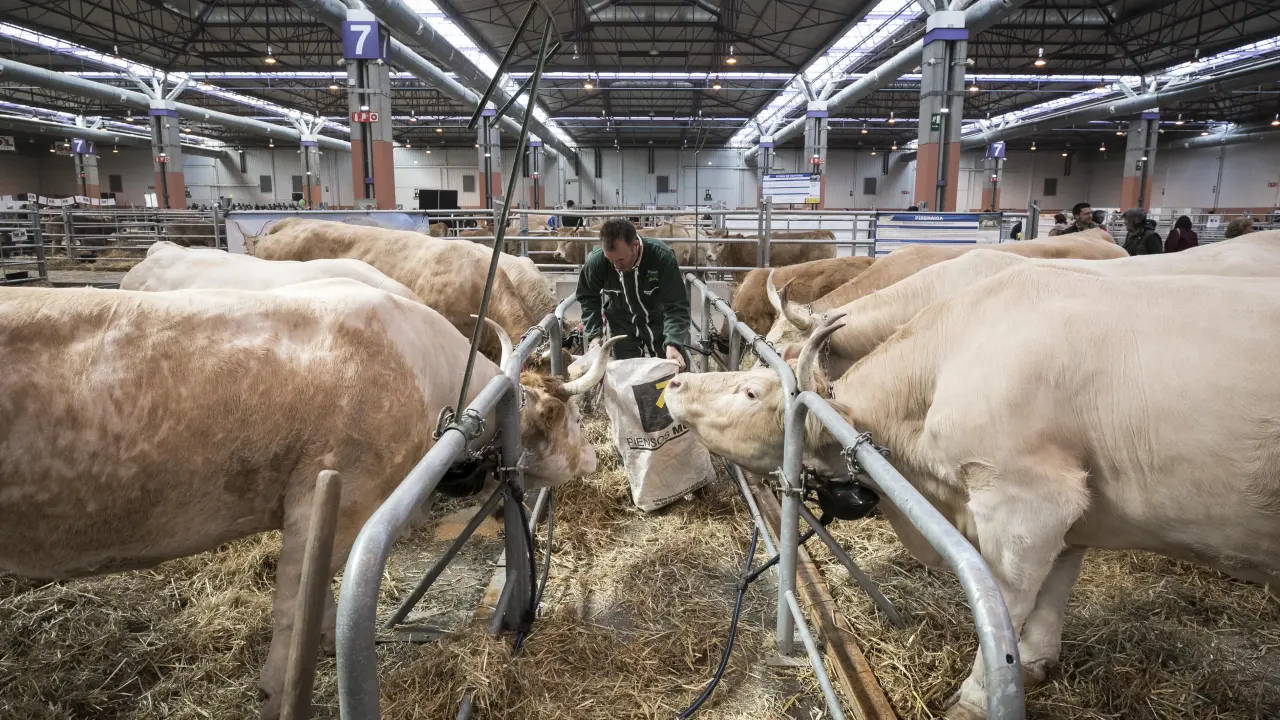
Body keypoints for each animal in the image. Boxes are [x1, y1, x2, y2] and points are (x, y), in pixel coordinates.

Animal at [0, 280, 622, 719]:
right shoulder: (330, 499)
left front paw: (325, 642)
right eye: (565, 417)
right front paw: (279, 691)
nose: (594, 457)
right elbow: (295, 602)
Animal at [664, 269, 1280, 720]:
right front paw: (1034, 661)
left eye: (751, 391)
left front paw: (977, 698)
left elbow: (1006, 605)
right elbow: (1055, 588)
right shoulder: (1075, 510)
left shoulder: (1028, 501)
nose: (677, 380)